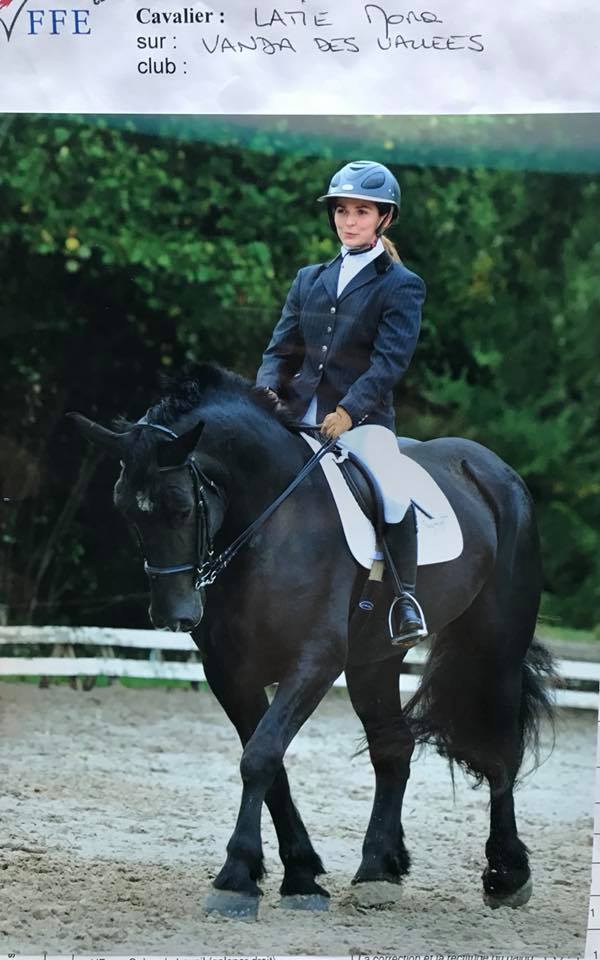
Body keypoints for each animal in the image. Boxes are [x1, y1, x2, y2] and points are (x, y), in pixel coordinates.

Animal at [72, 364, 556, 920]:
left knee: (501, 750)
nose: (174, 616)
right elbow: (269, 762)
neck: (270, 521)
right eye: (126, 510)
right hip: (375, 660)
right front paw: (299, 875)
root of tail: (493, 468)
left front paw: (235, 877)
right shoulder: (228, 671)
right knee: (393, 747)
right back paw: (378, 871)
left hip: (495, 648)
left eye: (180, 506)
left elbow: (260, 756)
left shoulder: (315, 661)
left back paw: (506, 875)